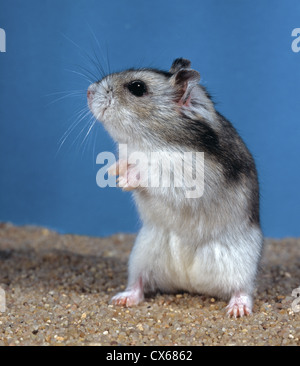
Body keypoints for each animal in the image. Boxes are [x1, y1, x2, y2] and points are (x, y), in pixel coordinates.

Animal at [86, 58, 262, 316]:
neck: (150, 139)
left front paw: (124, 180)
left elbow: (153, 172)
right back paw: (122, 299)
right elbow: (127, 162)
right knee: (138, 283)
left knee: (243, 290)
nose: (88, 92)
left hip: (242, 261)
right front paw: (112, 172)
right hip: (142, 254)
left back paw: (237, 311)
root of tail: (191, 283)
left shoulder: (188, 174)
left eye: (137, 88)